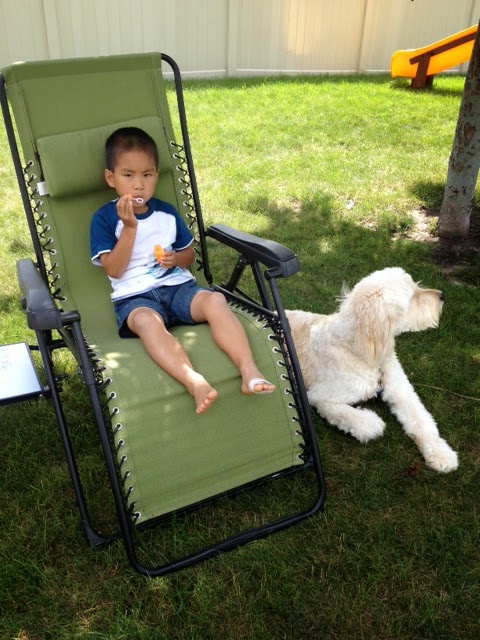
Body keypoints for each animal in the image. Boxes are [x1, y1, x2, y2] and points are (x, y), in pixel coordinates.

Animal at [286, 267, 458, 473]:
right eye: (411, 297)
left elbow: (423, 421)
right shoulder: (319, 397)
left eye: (415, 286)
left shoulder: (402, 391)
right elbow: (360, 421)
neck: (359, 351)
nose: (442, 295)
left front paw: (441, 453)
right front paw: (372, 420)